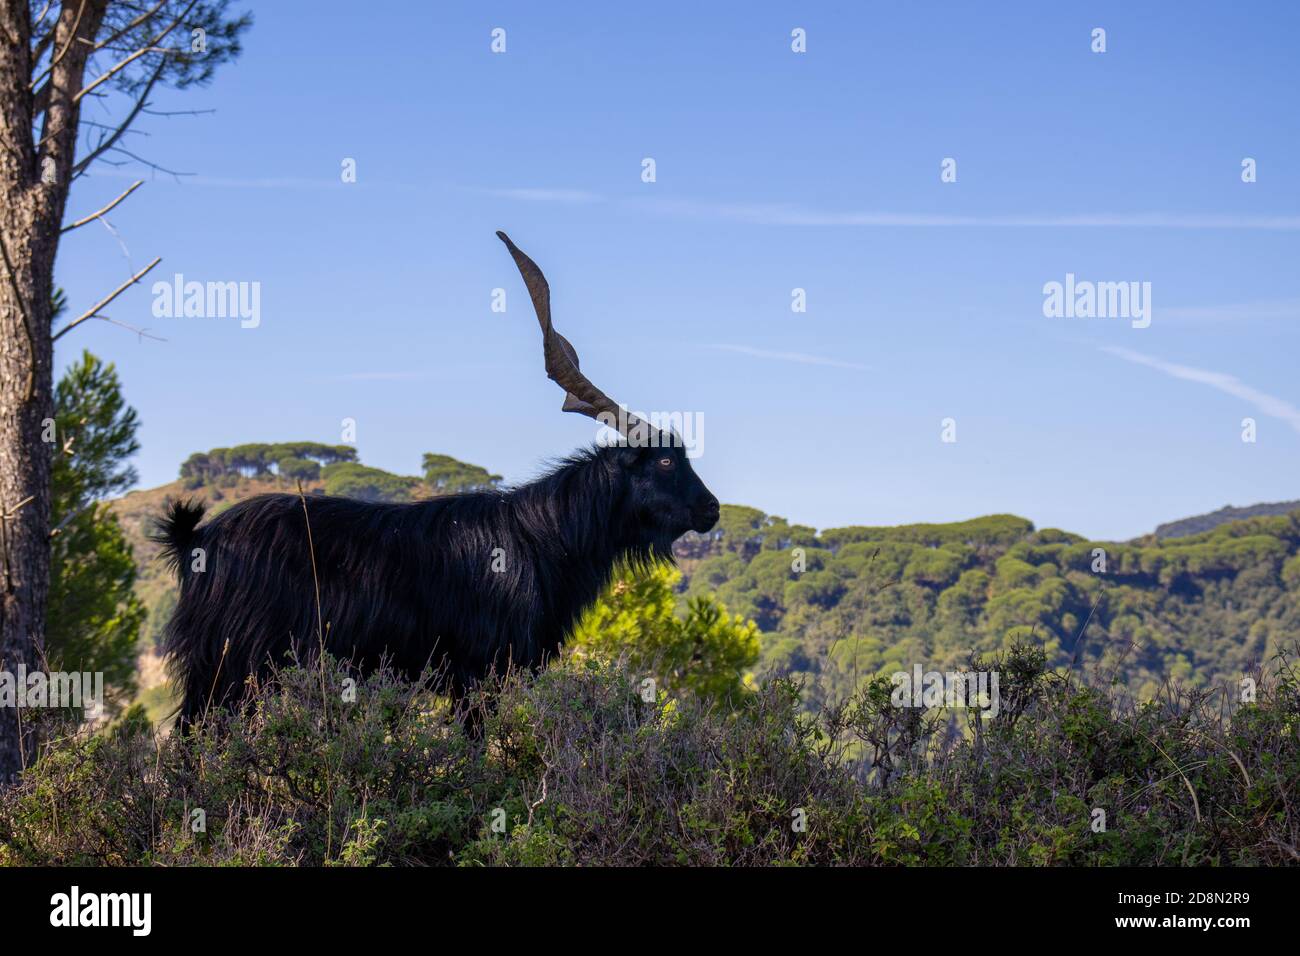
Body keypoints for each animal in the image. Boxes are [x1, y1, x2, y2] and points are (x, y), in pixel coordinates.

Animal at [156, 235, 722, 728]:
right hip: (230, 663)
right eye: (664, 462)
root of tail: (196, 538)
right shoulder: (476, 672)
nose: (711, 509)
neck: (542, 537)